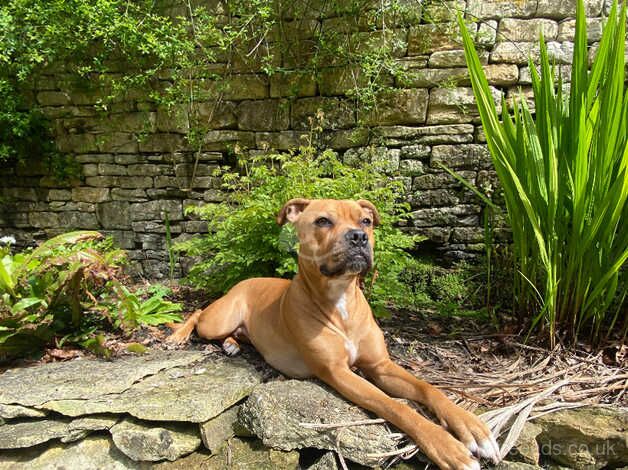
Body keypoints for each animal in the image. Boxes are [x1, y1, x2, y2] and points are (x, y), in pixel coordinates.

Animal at [168, 198, 500, 470]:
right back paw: (178, 336)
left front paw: (472, 427)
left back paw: (232, 344)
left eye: (365, 221)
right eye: (323, 221)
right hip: (220, 317)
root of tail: (244, 281)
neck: (341, 299)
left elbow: (427, 388)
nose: (358, 237)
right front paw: (447, 447)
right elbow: (393, 405)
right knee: (197, 313)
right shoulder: (338, 372)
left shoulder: (381, 366)